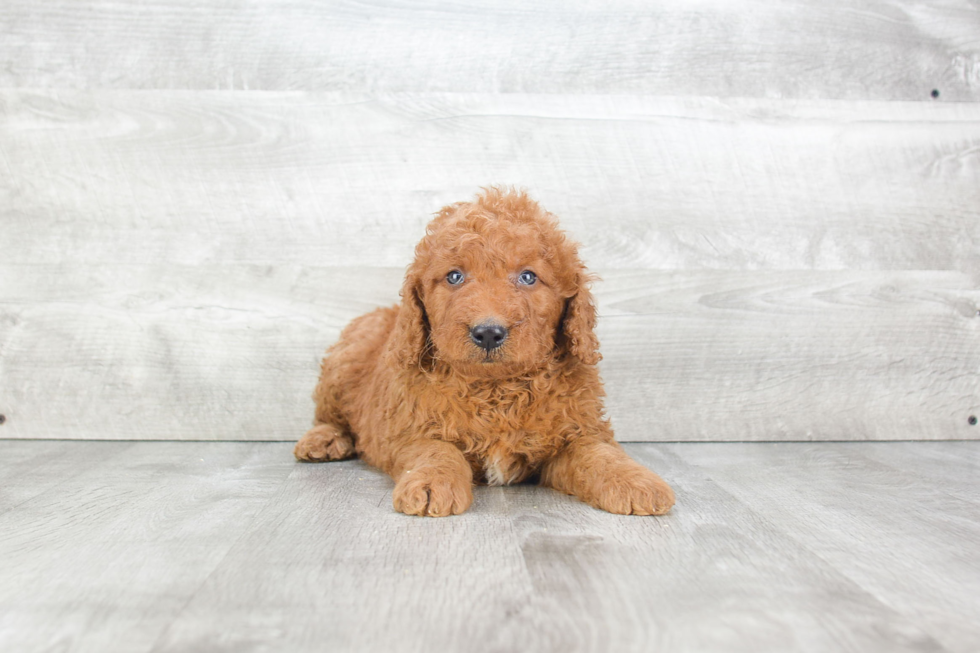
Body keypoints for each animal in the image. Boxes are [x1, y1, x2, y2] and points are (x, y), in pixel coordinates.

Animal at [292, 187, 672, 516]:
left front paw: (635, 481)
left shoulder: (575, 433)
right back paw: (324, 440)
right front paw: (431, 483)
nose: (488, 333)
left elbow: (599, 453)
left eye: (529, 277)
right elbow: (436, 450)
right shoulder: (409, 431)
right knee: (329, 412)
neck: (495, 389)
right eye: (455, 277)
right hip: (345, 357)